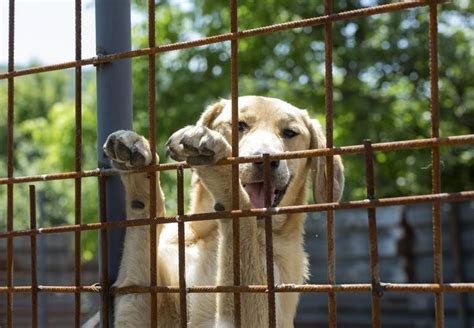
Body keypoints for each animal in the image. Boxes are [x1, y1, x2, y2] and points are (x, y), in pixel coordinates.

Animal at [104, 95, 344, 328]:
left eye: (290, 133)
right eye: (239, 125)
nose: (266, 160)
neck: (210, 233)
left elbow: (241, 210)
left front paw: (218, 160)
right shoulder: (138, 303)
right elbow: (144, 213)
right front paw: (138, 155)